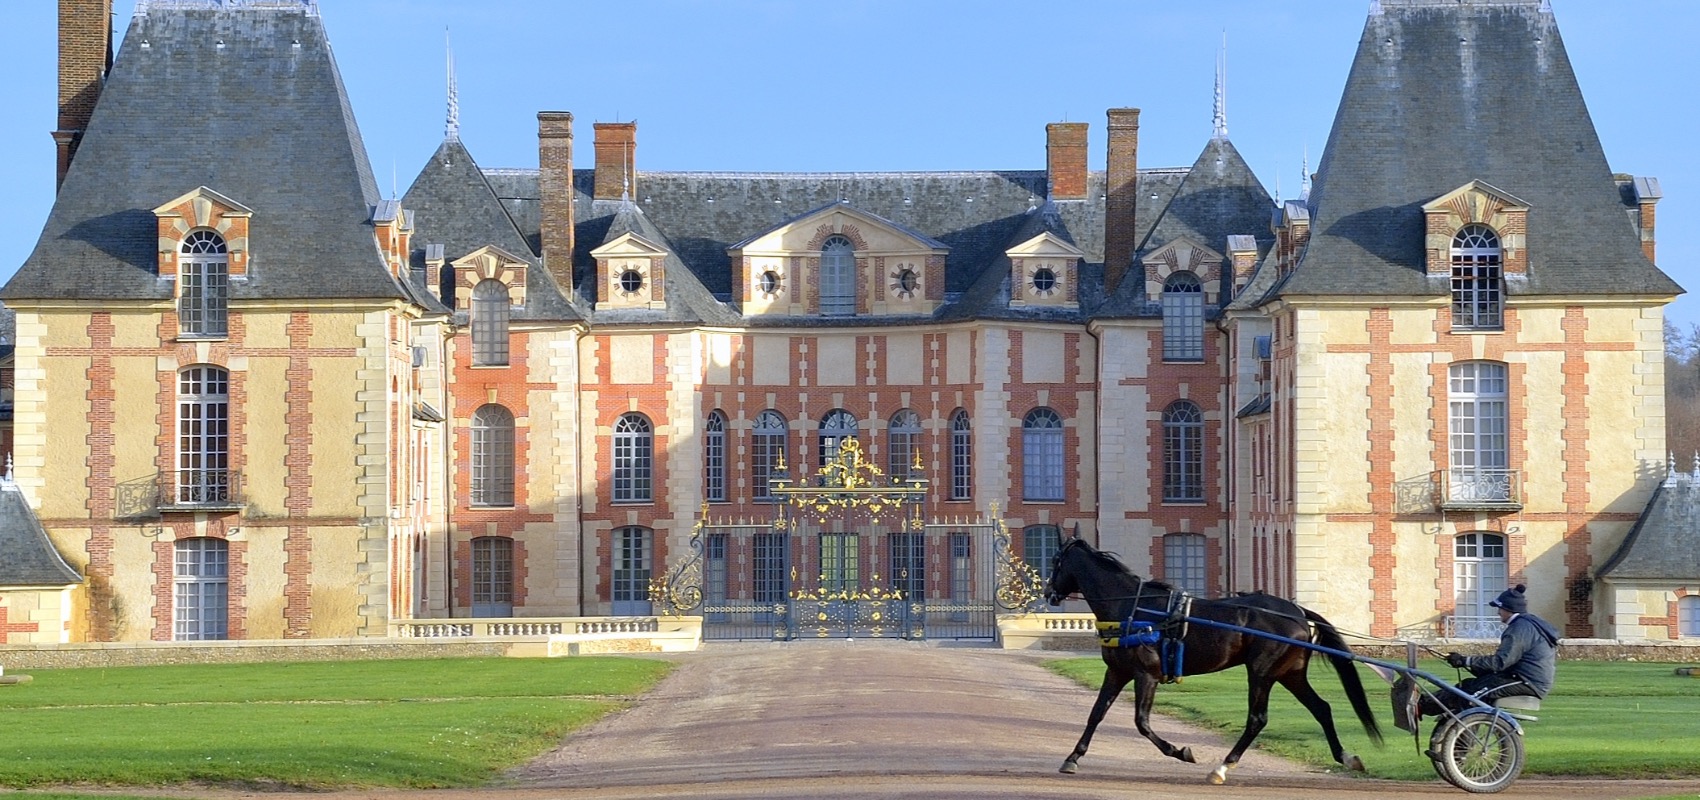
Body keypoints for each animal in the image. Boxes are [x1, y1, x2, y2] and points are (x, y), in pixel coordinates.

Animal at [1040, 536, 1387, 784]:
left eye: (1056, 562)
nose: (1047, 594)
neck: (1134, 609)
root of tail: (1297, 611)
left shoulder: (1146, 674)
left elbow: (1141, 722)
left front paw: (1181, 751)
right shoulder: (1116, 672)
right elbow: (1096, 714)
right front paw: (1072, 758)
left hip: (1261, 672)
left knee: (1257, 719)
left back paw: (1222, 766)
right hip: (1290, 673)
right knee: (1321, 708)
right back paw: (1346, 756)